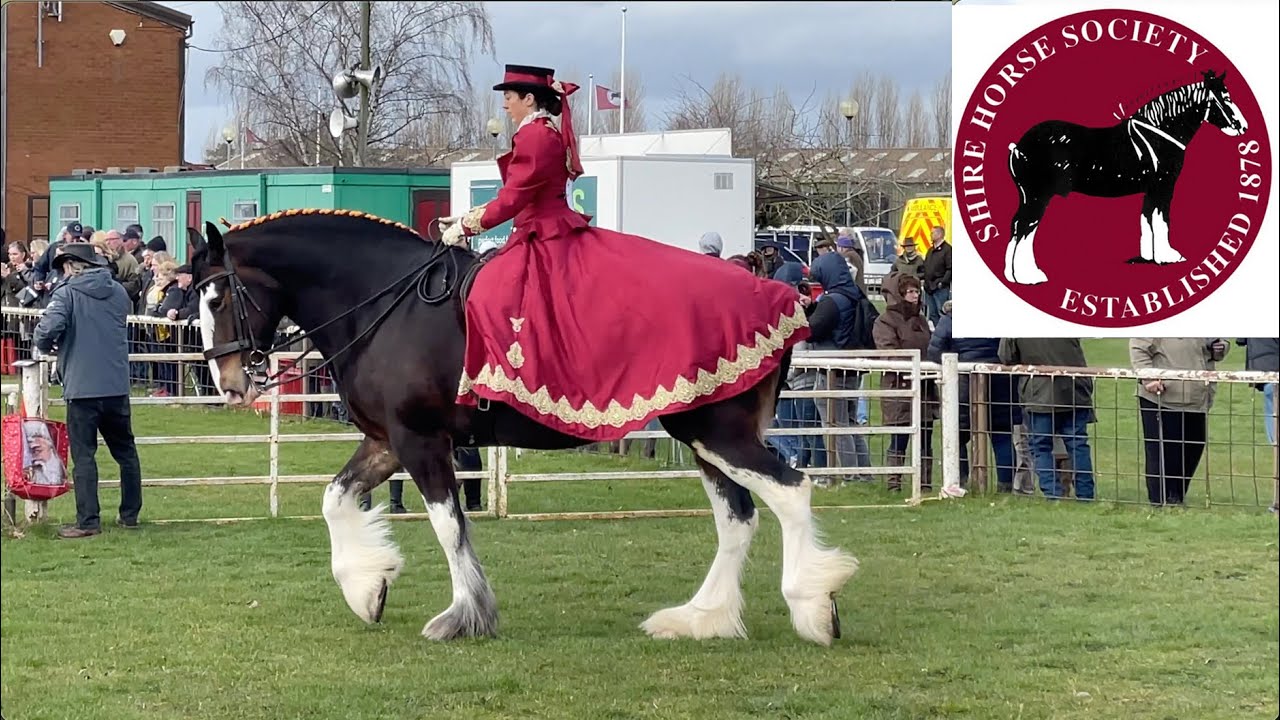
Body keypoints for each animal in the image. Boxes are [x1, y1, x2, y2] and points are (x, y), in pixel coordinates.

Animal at [185, 210, 859, 646]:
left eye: (217, 299)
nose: (228, 383)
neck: (384, 305)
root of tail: (782, 298)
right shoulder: (386, 441)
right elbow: (335, 500)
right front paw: (366, 587)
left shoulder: (421, 442)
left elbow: (449, 527)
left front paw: (464, 616)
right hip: (703, 440)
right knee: (737, 518)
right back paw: (702, 618)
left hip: (717, 434)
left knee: (790, 492)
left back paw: (814, 608)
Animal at [1004, 69, 1248, 285]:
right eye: (1226, 98)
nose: (1243, 127)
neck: (1160, 133)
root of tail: (1019, 146)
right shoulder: (1163, 187)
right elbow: (1161, 220)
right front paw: (1168, 256)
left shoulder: (1151, 190)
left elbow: (1148, 218)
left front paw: (1150, 257)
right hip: (1037, 197)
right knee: (1025, 229)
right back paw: (1029, 276)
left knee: (1018, 228)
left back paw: (1013, 275)